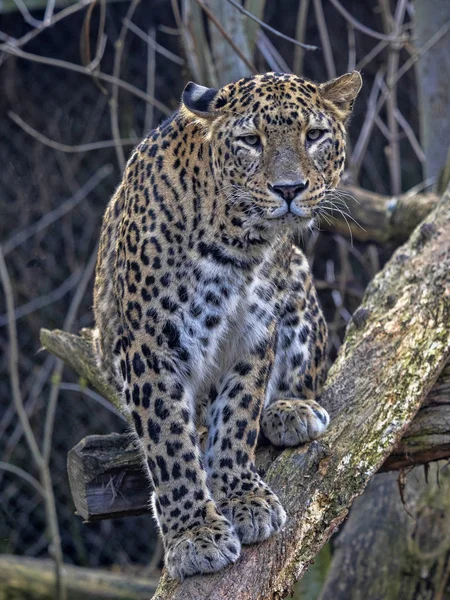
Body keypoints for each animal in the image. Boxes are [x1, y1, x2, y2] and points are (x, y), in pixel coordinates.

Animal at [92, 70, 362, 580]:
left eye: (314, 136)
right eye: (250, 141)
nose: (289, 189)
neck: (240, 244)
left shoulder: (253, 335)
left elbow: (238, 416)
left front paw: (243, 496)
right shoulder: (148, 346)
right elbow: (168, 443)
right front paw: (194, 533)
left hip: (299, 278)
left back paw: (292, 410)